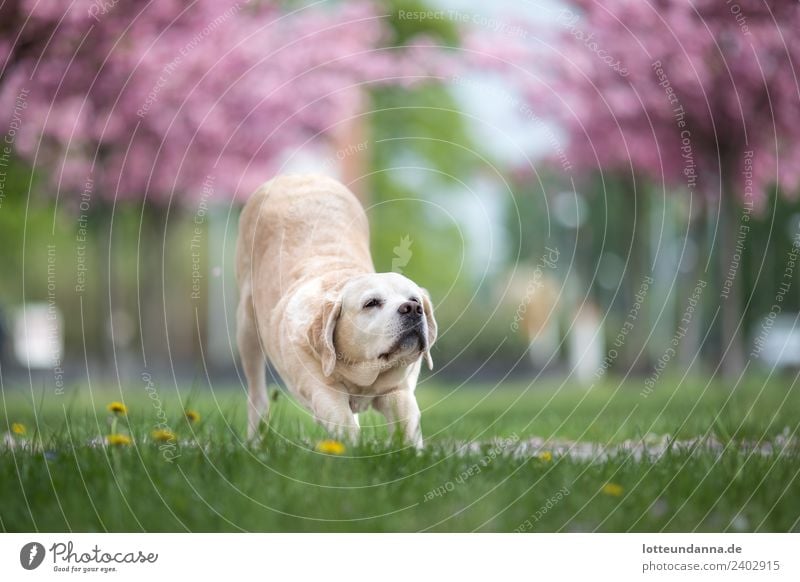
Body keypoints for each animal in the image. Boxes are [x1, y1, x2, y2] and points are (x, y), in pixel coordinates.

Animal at [236, 176, 438, 450]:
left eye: (415, 299)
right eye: (371, 303)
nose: (412, 309)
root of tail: (298, 175)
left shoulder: (399, 390)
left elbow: (407, 425)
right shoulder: (321, 388)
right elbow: (343, 423)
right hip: (247, 325)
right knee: (257, 391)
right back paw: (255, 439)